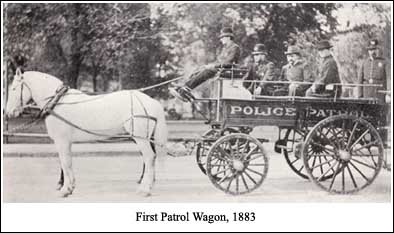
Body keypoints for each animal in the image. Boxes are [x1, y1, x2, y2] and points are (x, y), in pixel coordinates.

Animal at [5, 69, 168, 197]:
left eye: (14, 88)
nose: (7, 112)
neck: (57, 102)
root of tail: (151, 101)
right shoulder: (66, 143)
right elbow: (67, 163)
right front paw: (69, 187)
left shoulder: (62, 141)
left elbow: (65, 163)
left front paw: (65, 190)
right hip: (144, 138)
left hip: (141, 139)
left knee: (149, 158)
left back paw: (144, 189)